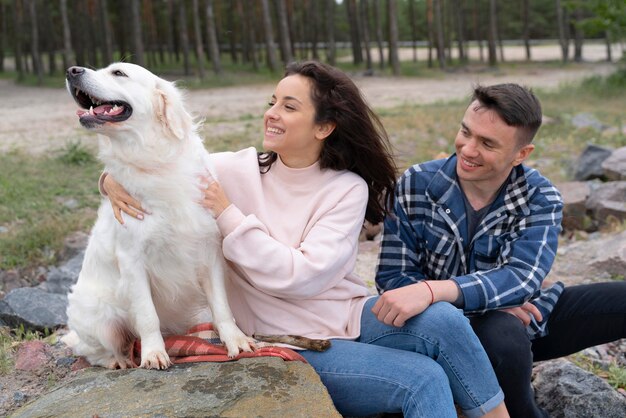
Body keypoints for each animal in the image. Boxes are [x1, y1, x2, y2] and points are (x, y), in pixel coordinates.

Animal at [60, 62, 251, 370]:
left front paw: (235, 339)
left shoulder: (210, 249)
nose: (72, 70)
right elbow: (147, 315)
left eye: (118, 73)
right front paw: (153, 354)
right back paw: (118, 360)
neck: (155, 162)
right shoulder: (132, 259)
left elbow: (222, 305)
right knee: (93, 349)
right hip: (100, 317)